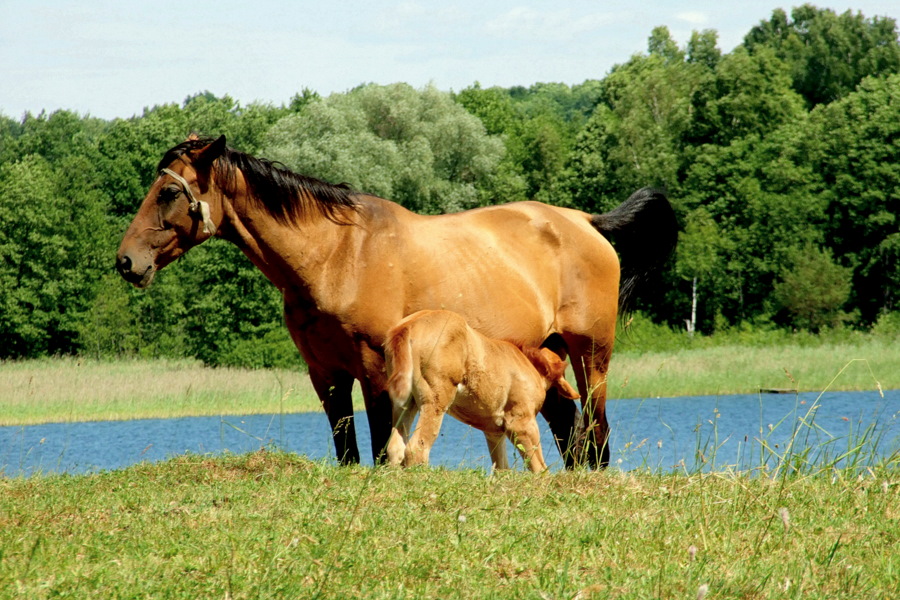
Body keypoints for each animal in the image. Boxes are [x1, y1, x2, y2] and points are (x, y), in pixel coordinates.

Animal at [384, 310, 580, 474]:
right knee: (416, 448)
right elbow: (539, 468)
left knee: (395, 447)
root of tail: (408, 325)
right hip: (436, 400)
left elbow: (502, 468)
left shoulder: (494, 432)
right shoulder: (521, 422)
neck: (530, 364)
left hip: (405, 404)